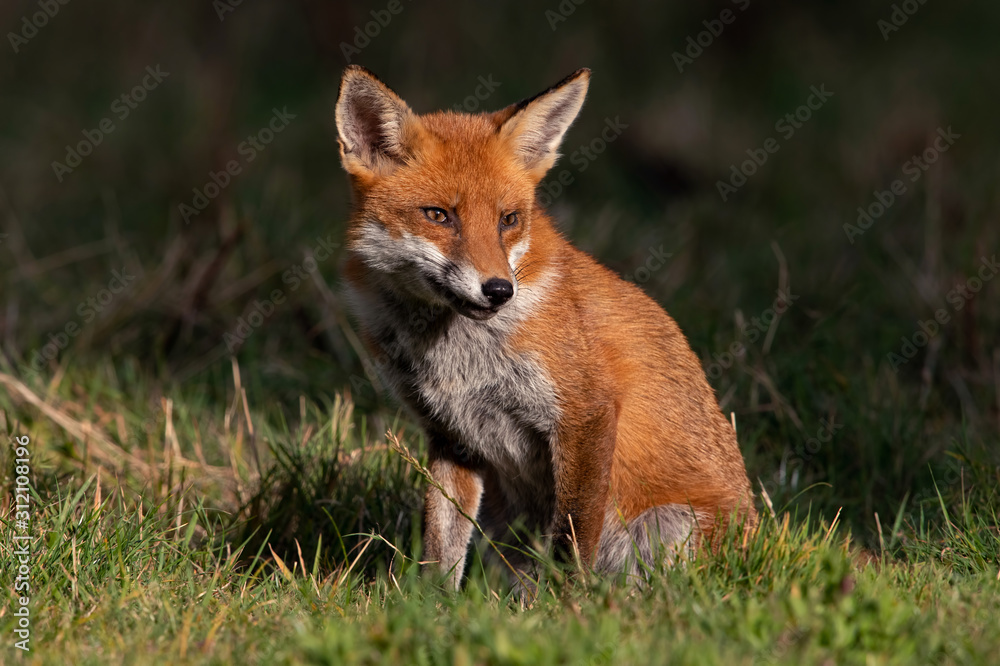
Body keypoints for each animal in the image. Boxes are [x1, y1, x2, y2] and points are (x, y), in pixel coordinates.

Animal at [334, 65, 756, 589]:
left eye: (508, 219)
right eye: (438, 215)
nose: (498, 290)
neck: (457, 353)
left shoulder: (585, 413)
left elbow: (572, 536)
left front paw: (566, 603)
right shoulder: (451, 435)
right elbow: (441, 543)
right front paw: (431, 603)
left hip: (667, 526)